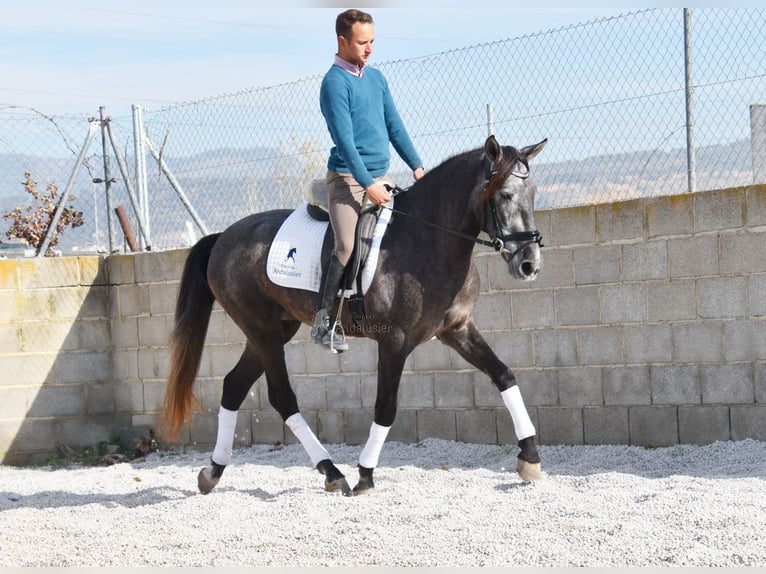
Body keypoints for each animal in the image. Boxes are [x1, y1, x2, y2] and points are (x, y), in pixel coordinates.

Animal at [160, 136, 544, 500]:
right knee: (282, 398)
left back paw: (212, 472)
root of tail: (223, 237)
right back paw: (333, 473)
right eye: (505, 195)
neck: (429, 239)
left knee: (234, 386)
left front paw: (530, 458)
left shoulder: (457, 329)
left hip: (272, 331)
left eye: (533, 194)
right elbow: (385, 408)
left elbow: (504, 375)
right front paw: (365, 476)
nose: (529, 265)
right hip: (263, 331)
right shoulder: (394, 341)